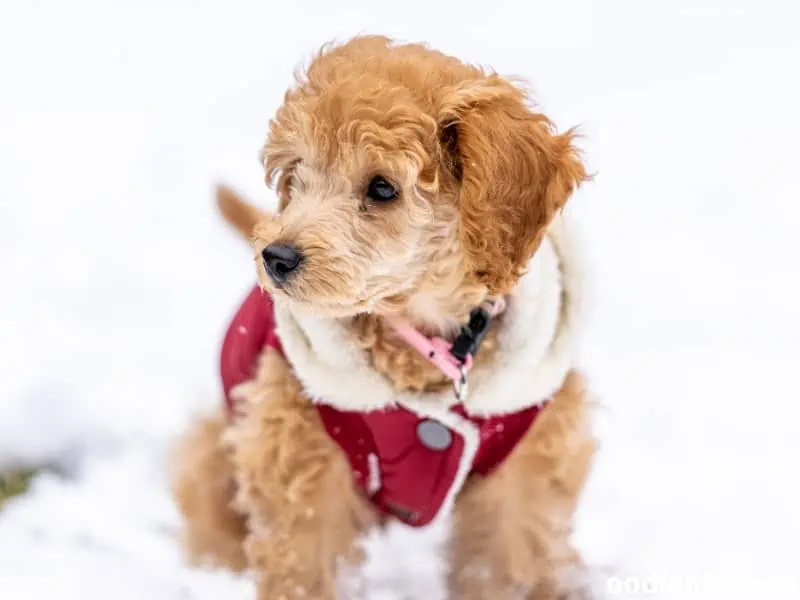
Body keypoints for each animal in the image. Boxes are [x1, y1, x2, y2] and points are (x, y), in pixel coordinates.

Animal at [173, 35, 592, 596]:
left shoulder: (523, 463)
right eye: (298, 175)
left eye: (382, 188)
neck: (424, 343)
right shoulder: (301, 449)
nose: (276, 256)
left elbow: (509, 562)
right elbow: (303, 562)